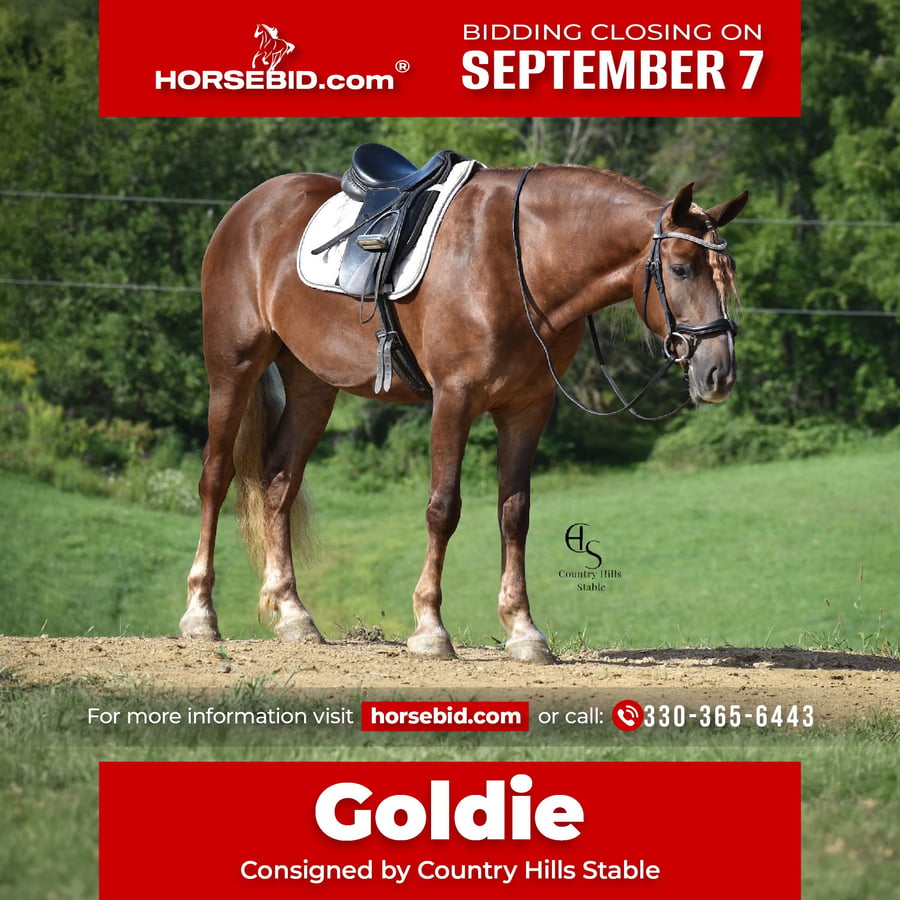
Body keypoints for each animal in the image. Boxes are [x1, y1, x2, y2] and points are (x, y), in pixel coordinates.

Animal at [182, 156, 747, 664]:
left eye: (727, 274)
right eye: (680, 269)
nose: (719, 374)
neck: (521, 262)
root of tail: (249, 207)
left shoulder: (527, 408)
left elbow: (514, 514)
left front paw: (523, 631)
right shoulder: (454, 399)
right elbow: (443, 509)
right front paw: (430, 629)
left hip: (312, 386)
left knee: (280, 481)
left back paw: (294, 615)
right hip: (233, 368)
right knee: (216, 476)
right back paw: (200, 615)